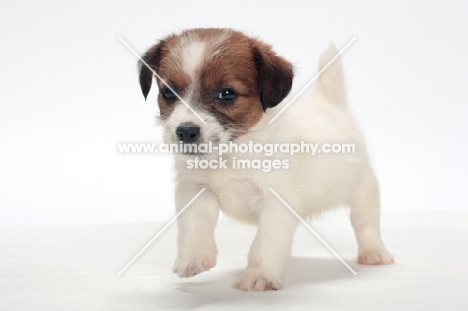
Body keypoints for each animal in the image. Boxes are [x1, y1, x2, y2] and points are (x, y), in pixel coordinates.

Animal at [137, 28, 394, 292]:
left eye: (227, 94)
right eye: (168, 93)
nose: (186, 131)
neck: (231, 154)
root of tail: (331, 105)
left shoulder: (276, 204)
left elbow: (265, 244)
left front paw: (259, 276)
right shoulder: (195, 190)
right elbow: (193, 226)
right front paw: (193, 258)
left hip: (364, 191)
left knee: (366, 223)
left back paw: (374, 253)